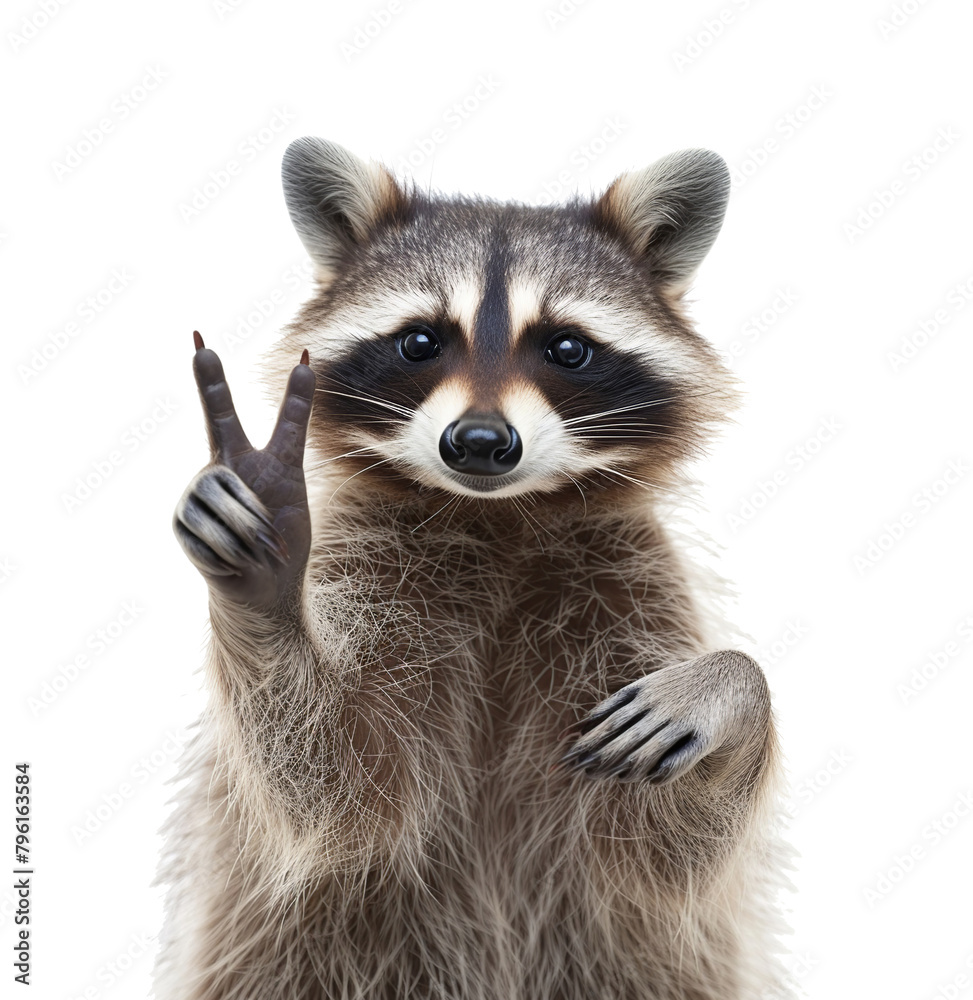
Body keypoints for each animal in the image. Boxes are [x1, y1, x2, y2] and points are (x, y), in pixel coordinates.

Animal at [156, 138, 791, 1000]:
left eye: (566, 348)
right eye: (421, 342)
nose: (481, 443)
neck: (498, 519)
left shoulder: (630, 575)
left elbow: (664, 850)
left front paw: (730, 687)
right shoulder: (371, 563)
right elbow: (341, 784)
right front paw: (266, 582)